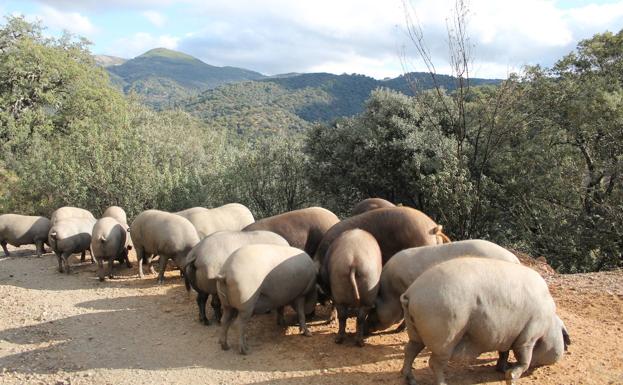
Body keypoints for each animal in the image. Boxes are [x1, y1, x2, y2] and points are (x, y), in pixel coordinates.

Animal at [400, 256, 572, 384]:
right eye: (564, 340)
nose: (566, 347)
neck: (548, 325)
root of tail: (411, 293)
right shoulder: (529, 335)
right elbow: (524, 359)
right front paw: (510, 376)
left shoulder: (506, 336)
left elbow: (504, 352)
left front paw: (502, 368)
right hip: (445, 335)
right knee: (434, 362)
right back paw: (442, 383)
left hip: (415, 329)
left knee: (410, 349)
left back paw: (410, 379)